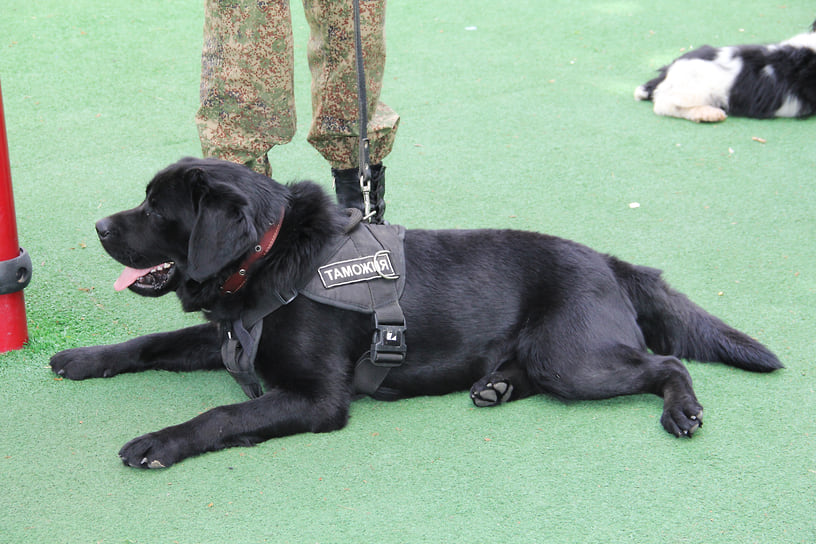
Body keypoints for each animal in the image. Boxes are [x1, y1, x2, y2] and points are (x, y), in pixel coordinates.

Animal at [47, 157, 780, 468]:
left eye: (155, 208)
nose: (99, 226)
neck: (272, 257)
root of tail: (607, 259)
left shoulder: (317, 398)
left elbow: (223, 414)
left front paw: (158, 443)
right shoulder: (227, 337)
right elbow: (150, 344)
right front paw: (83, 358)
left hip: (572, 357)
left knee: (667, 362)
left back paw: (682, 410)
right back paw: (496, 385)